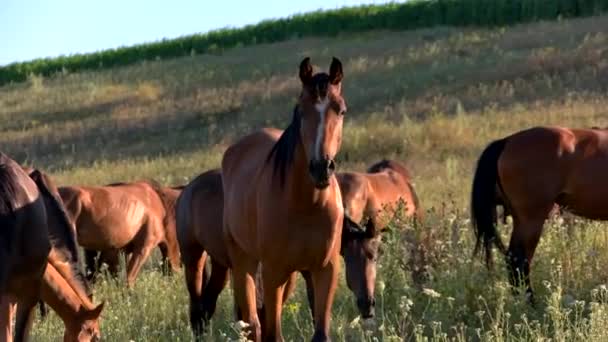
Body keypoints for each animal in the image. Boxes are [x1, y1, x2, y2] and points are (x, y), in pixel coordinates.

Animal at [220, 57, 344, 340]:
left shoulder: (325, 270)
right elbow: (272, 333)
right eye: (301, 110)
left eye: (341, 110)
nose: (321, 167)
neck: (307, 204)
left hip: (290, 277)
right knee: (254, 324)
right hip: (245, 263)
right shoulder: (273, 271)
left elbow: (321, 333)